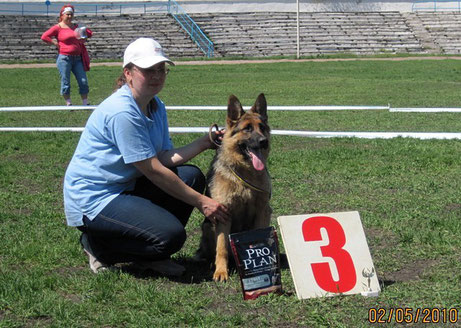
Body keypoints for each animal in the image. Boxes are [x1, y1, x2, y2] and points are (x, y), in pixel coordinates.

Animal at [193, 93, 270, 282]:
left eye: (262, 128)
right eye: (247, 129)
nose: (264, 142)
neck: (245, 173)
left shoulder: (263, 211)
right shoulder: (223, 215)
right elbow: (221, 248)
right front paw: (221, 272)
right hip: (208, 226)